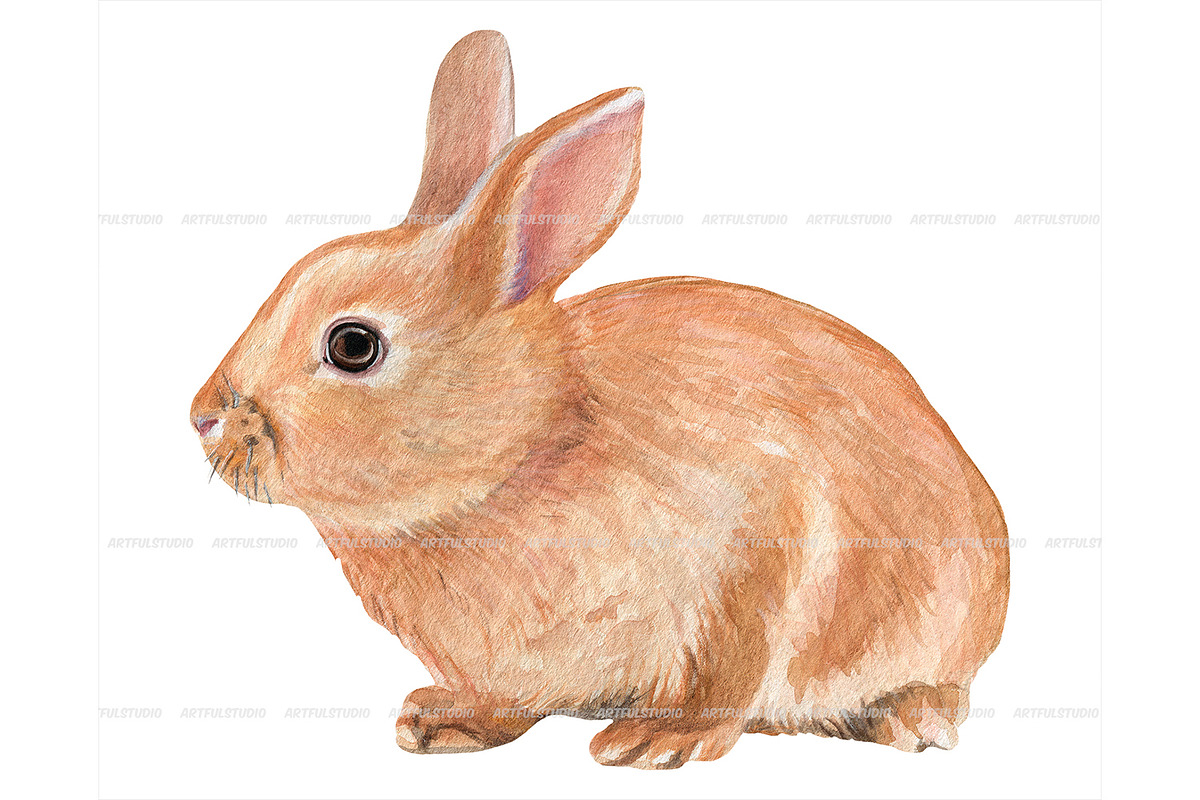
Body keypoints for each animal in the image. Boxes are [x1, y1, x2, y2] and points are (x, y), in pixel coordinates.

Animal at [190, 30, 1009, 769]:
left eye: (353, 346)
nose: (203, 416)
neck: (529, 449)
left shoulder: (761, 536)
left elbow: (728, 669)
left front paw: (657, 741)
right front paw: (439, 722)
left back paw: (911, 723)